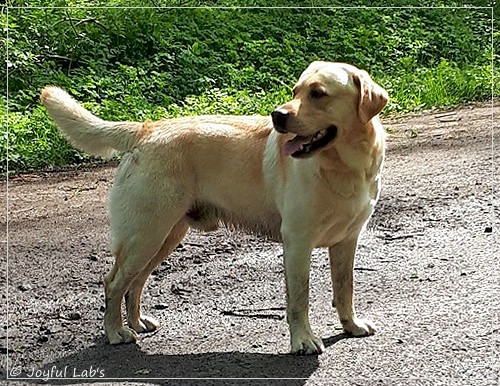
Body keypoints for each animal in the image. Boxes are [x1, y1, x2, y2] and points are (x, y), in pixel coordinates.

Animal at [42, 61, 386, 354]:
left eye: (318, 94)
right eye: (295, 92)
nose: (277, 116)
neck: (345, 166)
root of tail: (146, 129)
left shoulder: (348, 241)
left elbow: (345, 288)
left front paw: (351, 325)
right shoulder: (297, 243)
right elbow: (299, 298)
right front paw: (303, 340)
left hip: (164, 236)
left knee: (135, 282)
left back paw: (137, 322)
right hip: (145, 234)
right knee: (114, 282)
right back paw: (115, 332)